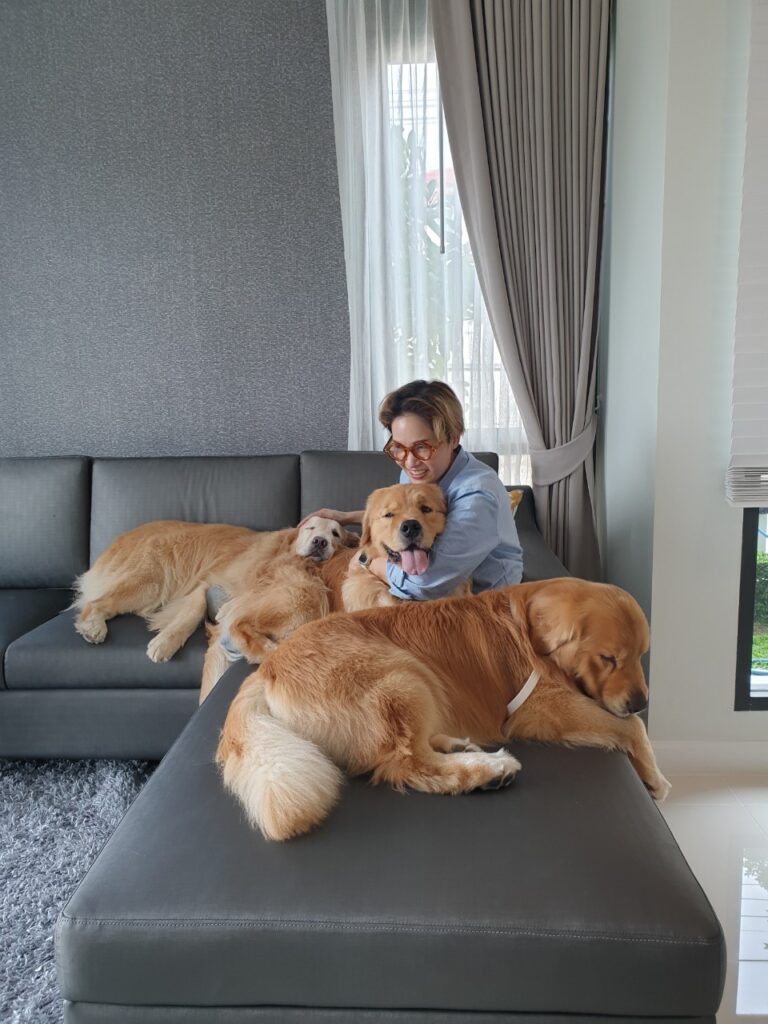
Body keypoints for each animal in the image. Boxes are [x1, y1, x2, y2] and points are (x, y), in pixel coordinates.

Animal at [73, 516, 357, 663]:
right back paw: (93, 627)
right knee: (96, 603)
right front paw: (164, 644)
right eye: (311, 527)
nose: (320, 542)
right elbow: (191, 616)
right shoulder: (209, 582)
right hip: (151, 581)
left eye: (335, 534)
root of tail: (123, 538)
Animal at [200, 482, 465, 702]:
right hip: (305, 593)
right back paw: (272, 649)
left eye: (426, 509)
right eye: (389, 514)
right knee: (239, 623)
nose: (410, 527)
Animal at [216, 577, 671, 841]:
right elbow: (631, 728)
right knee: (406, 762)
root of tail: (268, 669)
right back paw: (490, 770)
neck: (528, 628)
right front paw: (655, 778)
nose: (642, 701)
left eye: (642, 655)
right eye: (608, 659)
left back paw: (461, 748)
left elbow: (628, 724)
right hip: (401, 674)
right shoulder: (541, 706)